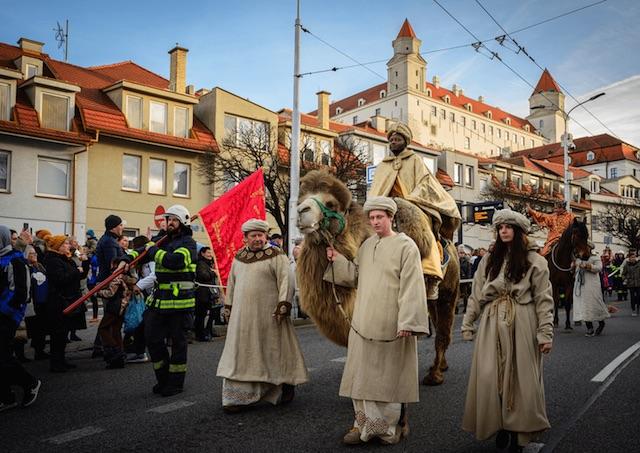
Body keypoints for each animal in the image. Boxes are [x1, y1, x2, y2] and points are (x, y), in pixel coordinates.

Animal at [296, 170, 460, 384]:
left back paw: (435, 375)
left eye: (331, 204)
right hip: (431, 297)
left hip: (449, 290)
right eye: (301, 199)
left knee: (443, 329)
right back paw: (440, 366)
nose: (301, 211)